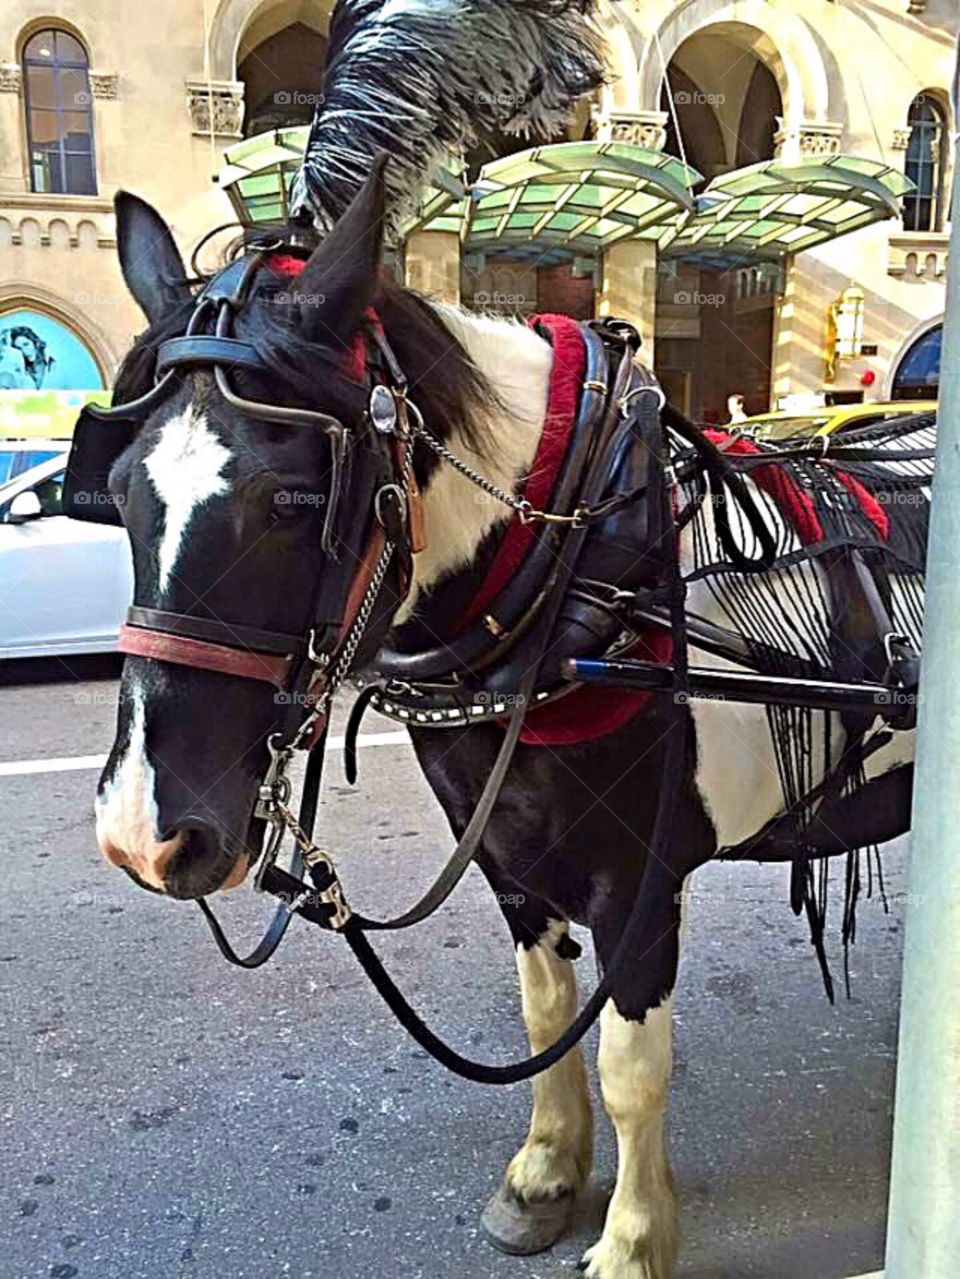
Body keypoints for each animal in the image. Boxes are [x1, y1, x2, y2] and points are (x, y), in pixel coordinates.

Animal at [92, 164, 925, 1273]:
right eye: (116, 488)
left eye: (291, 499)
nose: (141, 834)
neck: (577, 570)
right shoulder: (511, 860)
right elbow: (544, 1013)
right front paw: (545, 1169)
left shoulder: (638, 883)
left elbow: (630, 1066)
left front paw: (631, 1238)